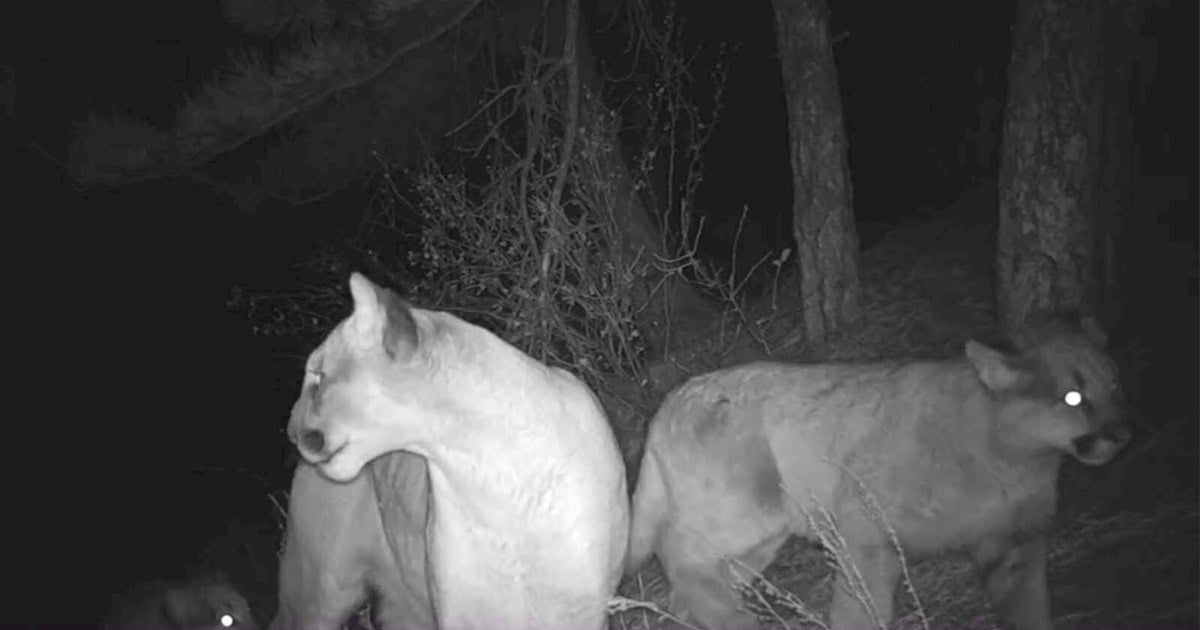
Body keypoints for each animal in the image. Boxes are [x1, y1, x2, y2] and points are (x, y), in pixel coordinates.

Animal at [625, 315, 1130, 630]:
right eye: (1072, 398)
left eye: (1114, 384)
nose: (1119, 434)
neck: (1010, 454)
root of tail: (671, 400)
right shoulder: (864, 532)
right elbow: (859, 610)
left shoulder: (1015, 542)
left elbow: (1030, 611)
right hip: (740, 516)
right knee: (678, 555)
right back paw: (739, 620)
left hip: (758, 539)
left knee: (690, 584)